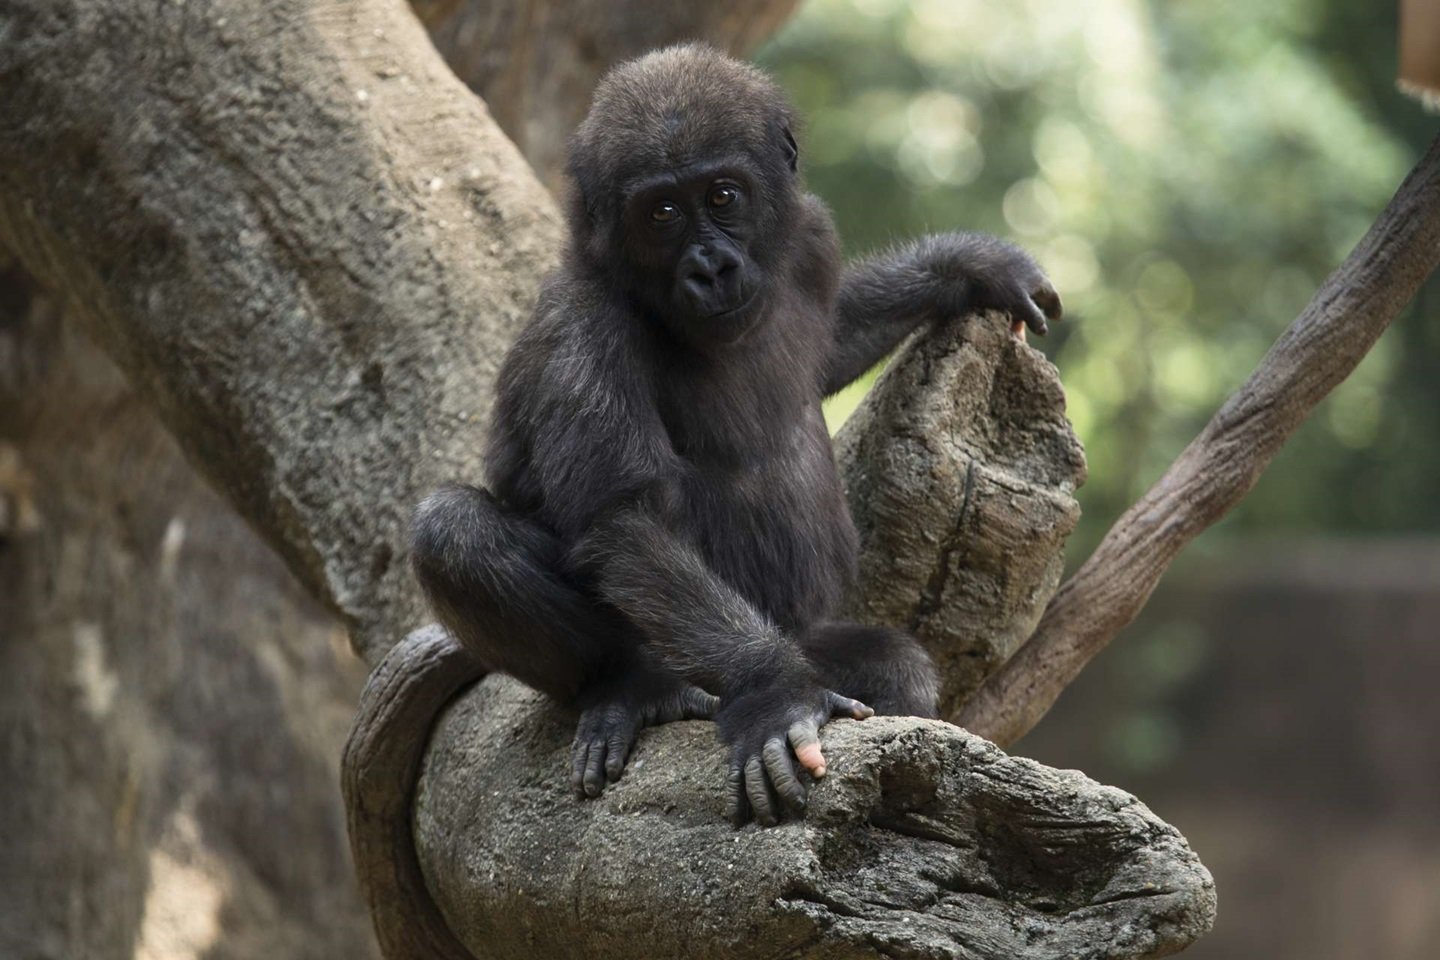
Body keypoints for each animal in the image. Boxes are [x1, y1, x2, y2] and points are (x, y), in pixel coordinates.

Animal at [411, 44, 1065, 829]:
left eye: (723, 196)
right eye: (661, 213)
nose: (711, 267)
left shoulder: (810, 235)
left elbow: (835, 336)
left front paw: (971, 266)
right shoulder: (582, 330)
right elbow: (626, 521)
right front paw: (774, 695)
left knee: (894, 671)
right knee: (455, 533)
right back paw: (633, 684)